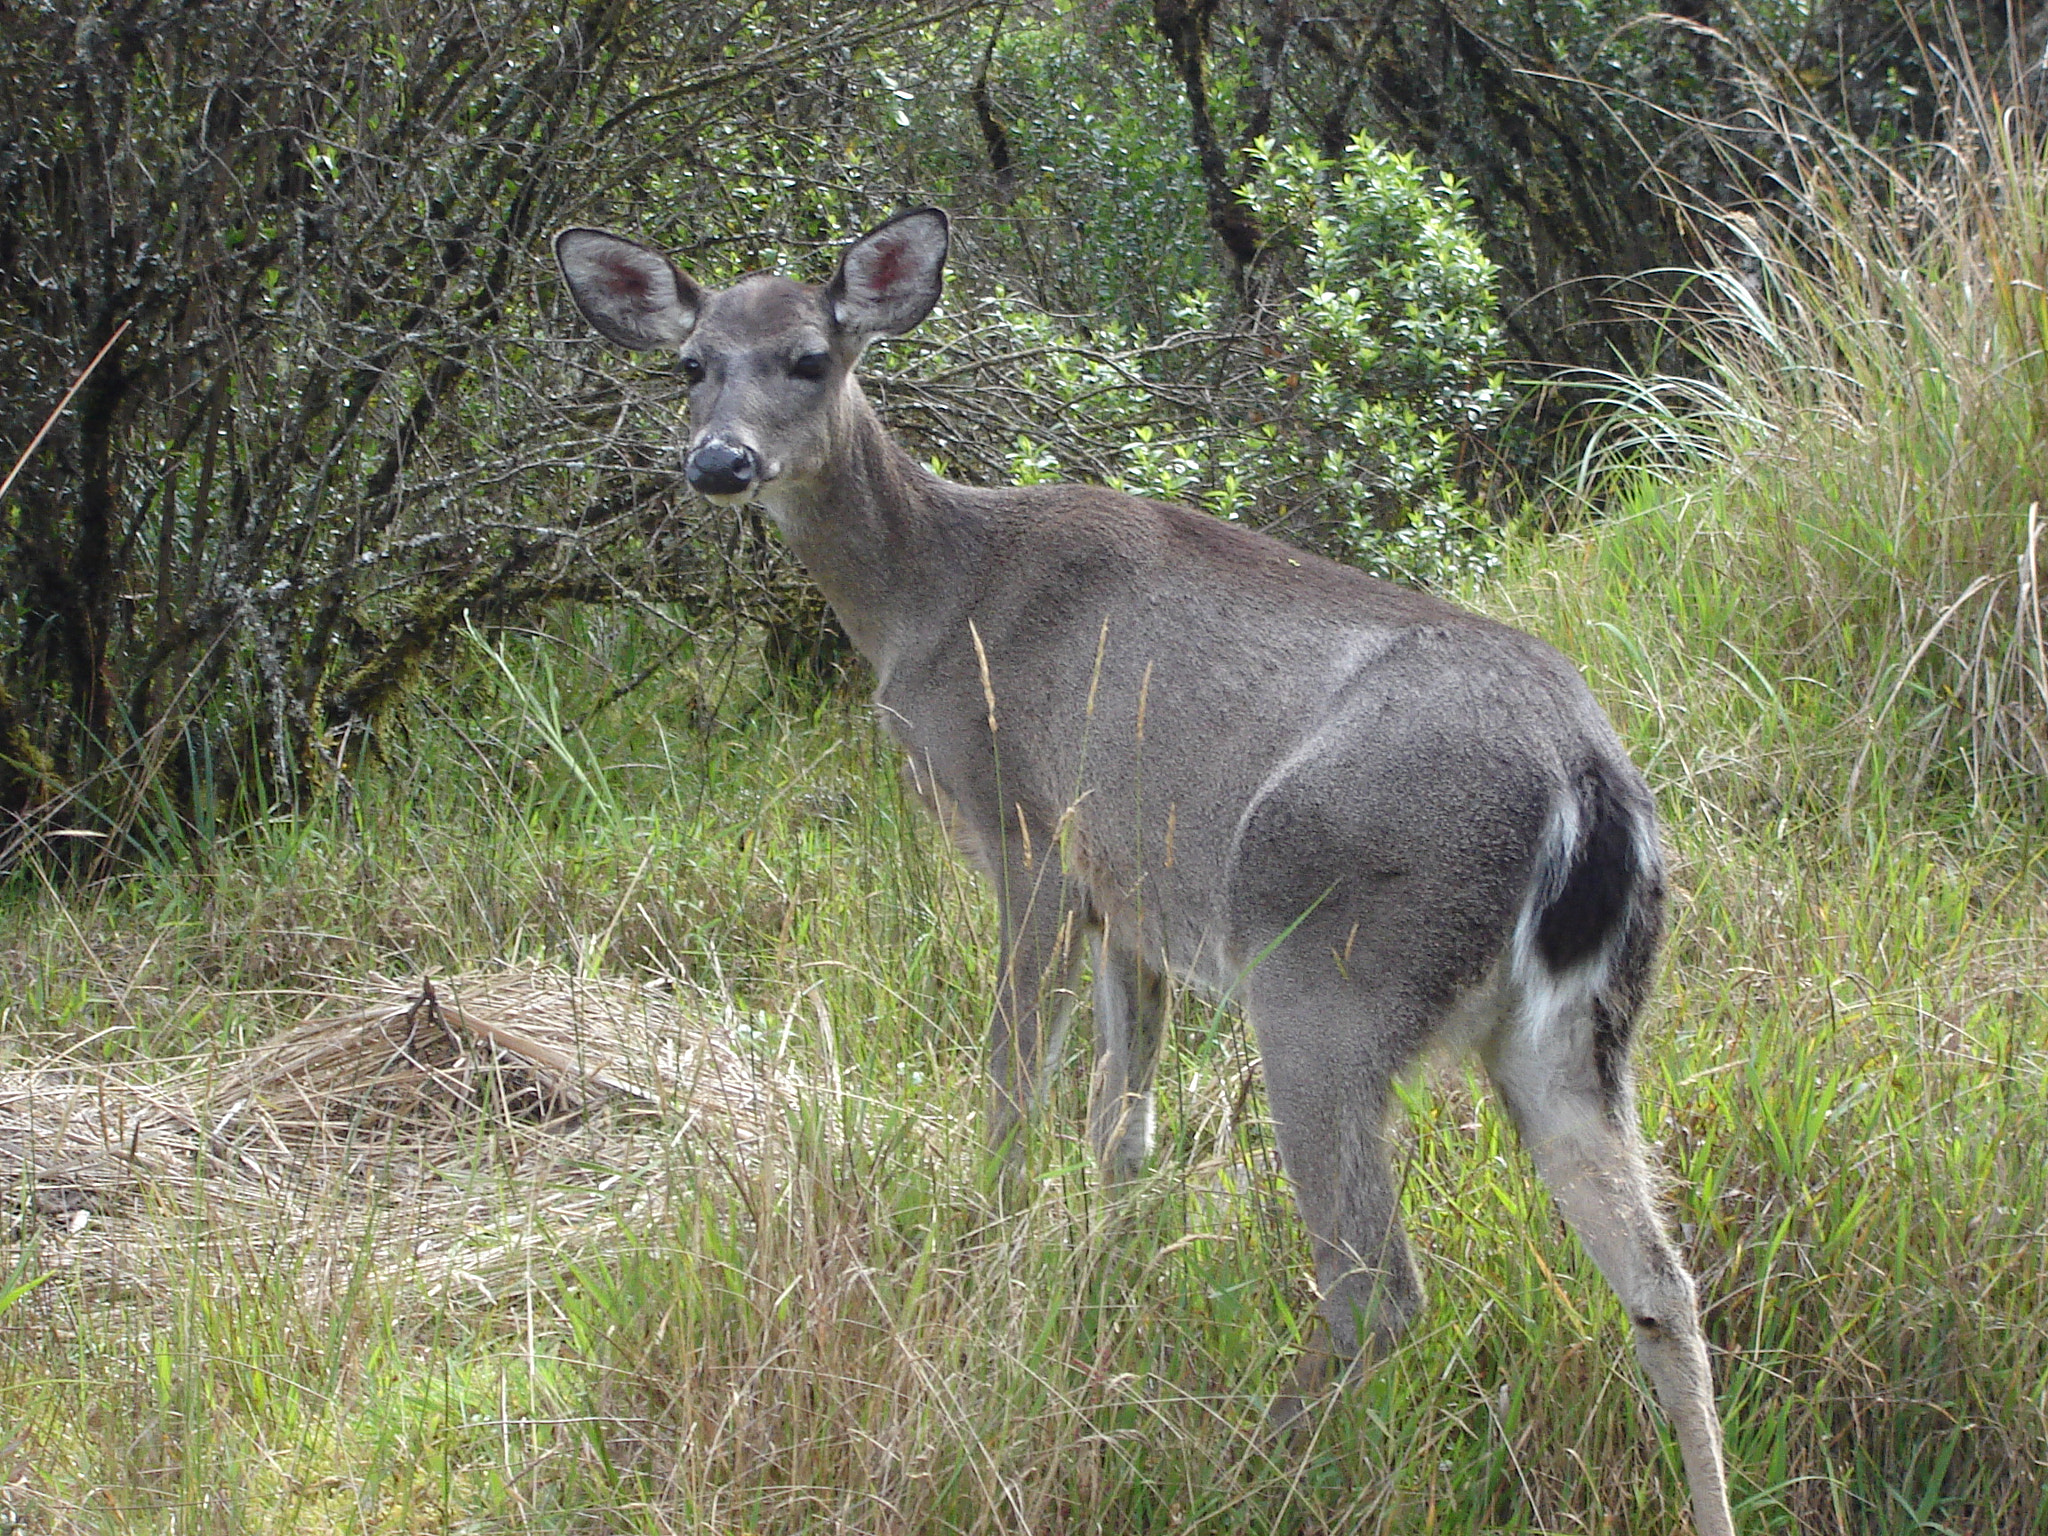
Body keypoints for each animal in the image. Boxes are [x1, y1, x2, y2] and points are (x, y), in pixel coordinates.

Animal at [552, 207, 1736, 1536]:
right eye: (688, 363)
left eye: (811, 357)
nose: (718, 463)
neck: (933, 600)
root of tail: (1590, 785)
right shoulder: (1133, 898)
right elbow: (1122, 1133)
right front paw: (1093, 1289)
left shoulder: (1028, 834)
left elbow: (1014, 1087)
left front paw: (987, 1253)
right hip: (1577, 1028)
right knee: (1660, 1285)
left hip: (1324, 974)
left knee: (1373, 1284)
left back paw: (1245, 1467)